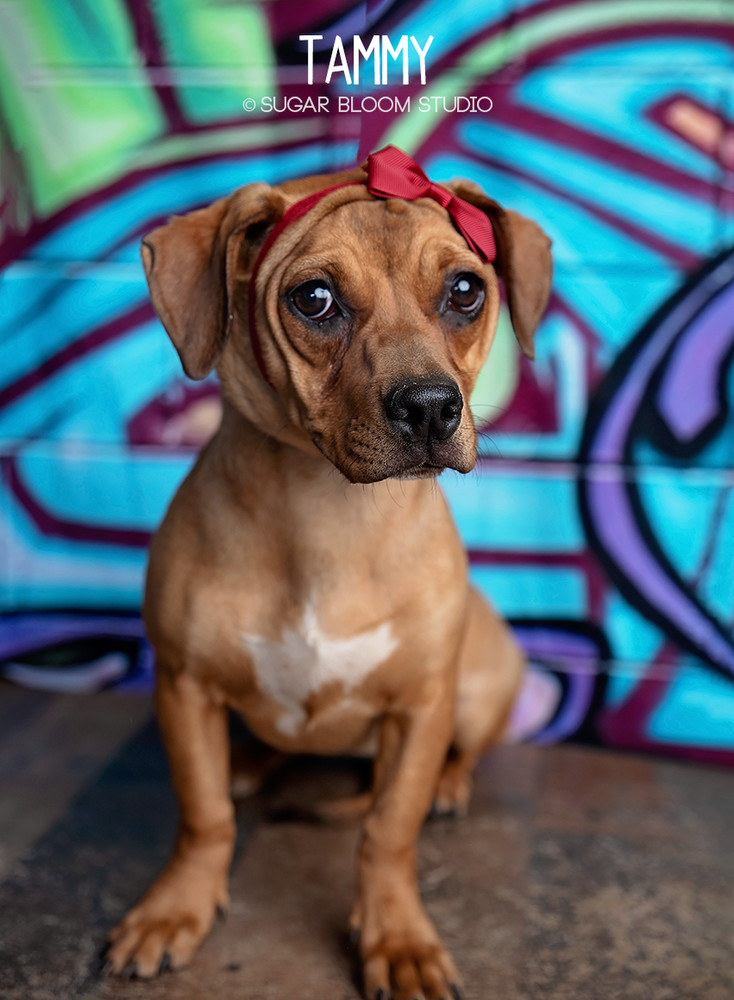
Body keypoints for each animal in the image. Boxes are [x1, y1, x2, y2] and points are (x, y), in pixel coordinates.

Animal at [102, 148, 552, 1000]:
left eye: (465, 290)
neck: (327, 512)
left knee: (462, 755)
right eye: (314, 299)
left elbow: (387, 832)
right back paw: (251, 765)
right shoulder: (183, 686)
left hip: (479, 688)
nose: (430, 406)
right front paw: (177, 908)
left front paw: (396, 937)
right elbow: (204, 816)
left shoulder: (419, 708)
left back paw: (449, 786)